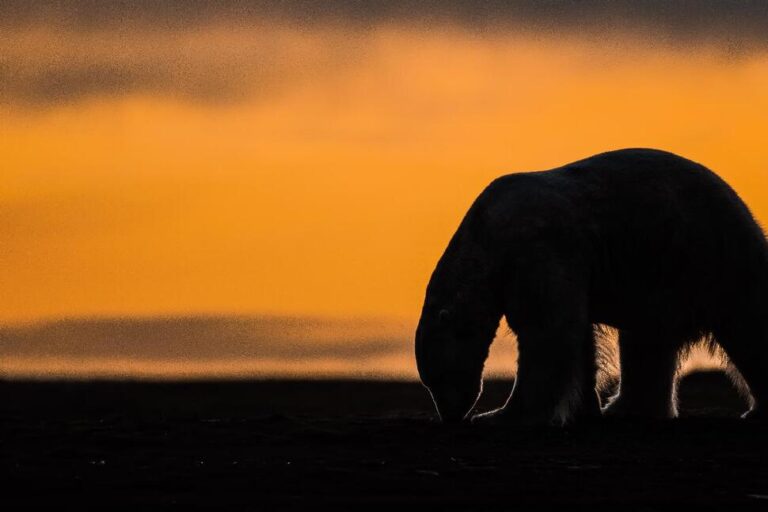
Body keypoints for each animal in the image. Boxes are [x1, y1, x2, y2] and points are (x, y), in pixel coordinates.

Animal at [415, 148, 768, 425]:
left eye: (437, 377)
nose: (450, 414)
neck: (487, 234)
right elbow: (578, 335)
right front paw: (585, 408)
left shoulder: (537, 248)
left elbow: (546, 330)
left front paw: (500, 414)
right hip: (659, 278)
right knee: (646, 342)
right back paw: (625, 409)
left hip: (712, 257)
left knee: (746, 326)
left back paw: (755, 410)